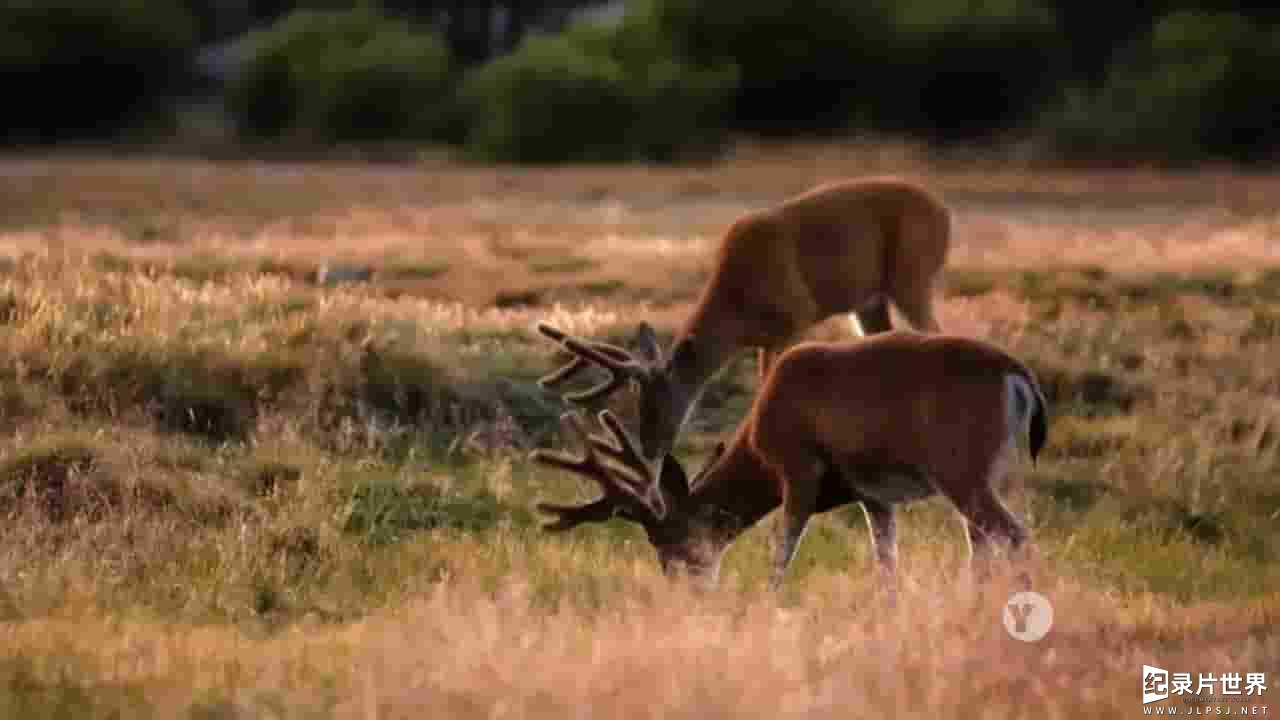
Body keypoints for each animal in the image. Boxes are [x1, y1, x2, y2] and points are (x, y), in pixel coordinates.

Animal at [524, 330, 1044, 589]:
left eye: (671, 546)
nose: (688, 594)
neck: (758, 437)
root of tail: (1018, 375)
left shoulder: (797, 469)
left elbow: (781, 554)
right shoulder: (873, 495)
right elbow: (886, 565)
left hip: (959, 469)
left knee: (1016, 534)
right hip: (993, 470)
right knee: (988, 540)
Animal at [537, 175, 952, 468]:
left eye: (658, 400)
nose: (651, 449)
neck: (738, 308)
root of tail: (943, 211)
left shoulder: (797, 313)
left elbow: (768, 384)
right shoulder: (766, 338)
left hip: (912, 274)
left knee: (937, 333)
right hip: (871, 301)